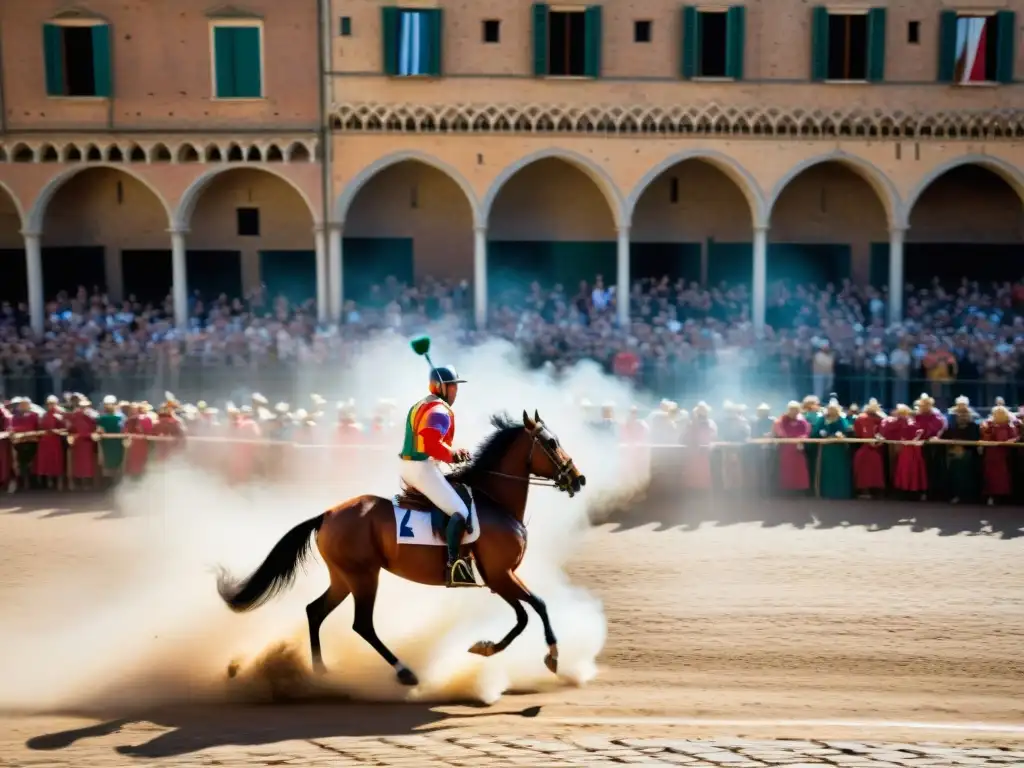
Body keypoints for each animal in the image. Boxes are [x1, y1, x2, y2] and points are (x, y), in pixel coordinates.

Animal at [216, 411, 585, 688]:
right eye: (551, 443)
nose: (578, 479)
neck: (493, 501)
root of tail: (327, 515)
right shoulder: (500, 575)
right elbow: (531, 610)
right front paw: (536, 654)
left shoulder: (502, 577)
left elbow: (531, 610)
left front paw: (510, 650)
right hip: (364, 577)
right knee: (362, 625)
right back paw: (404, 671)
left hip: (343, 578)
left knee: (315, 611)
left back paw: (319, 671)